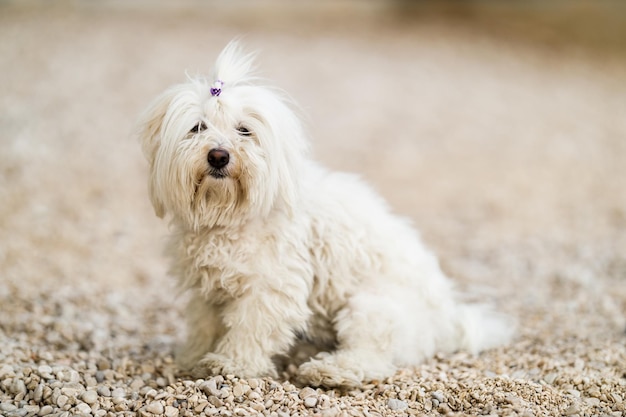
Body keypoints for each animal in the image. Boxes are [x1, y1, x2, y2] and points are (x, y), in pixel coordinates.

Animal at [135, 42, 508, 386]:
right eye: (198, 127)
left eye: (244, 130)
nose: (218, 155)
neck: (230, 216)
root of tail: (450, 320)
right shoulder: (207, 287)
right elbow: (204, 324)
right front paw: (193, 357)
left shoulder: (271, 287)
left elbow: (250, 329)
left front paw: (230, 364)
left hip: (371, 307)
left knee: (370, 358)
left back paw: (327, 370)